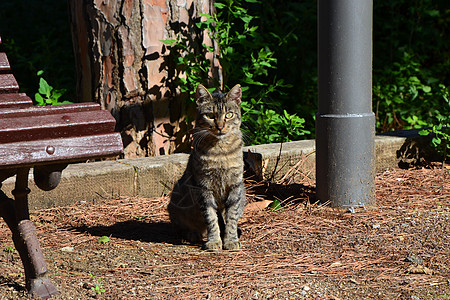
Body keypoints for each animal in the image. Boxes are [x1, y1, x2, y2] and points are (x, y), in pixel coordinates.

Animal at [168, 83, 246, 250]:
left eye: (229, 115)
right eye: (210, 115)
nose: (220, 126)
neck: (220, 151)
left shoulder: (235, 185)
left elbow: (231, 217)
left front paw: (230, 240)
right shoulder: (204, 187)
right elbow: (211, 218)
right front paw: (214, 241)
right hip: (176, 200)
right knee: (180, 226)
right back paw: (193, 234)